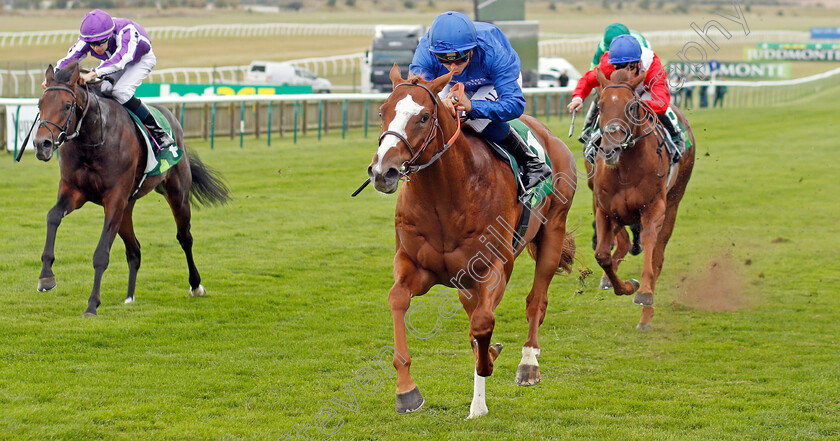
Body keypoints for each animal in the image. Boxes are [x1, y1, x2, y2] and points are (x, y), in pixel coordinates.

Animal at [31, 62, 230, 316]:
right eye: (40, 105)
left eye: (67, 105)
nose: (41, 145)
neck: (94, 138)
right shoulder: (74, 191)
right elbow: (53, 216)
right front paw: (46, 277)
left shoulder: (114, 199)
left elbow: (101, 254)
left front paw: (92, 304)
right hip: (127, 207)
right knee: (134, 250)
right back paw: (129, 297)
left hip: (177, 193)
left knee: (185, 237)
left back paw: (195, 286)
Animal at [368, 64, 576, 416]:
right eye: (383, 112)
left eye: (423, 117)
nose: (384, 171)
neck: (447, 197)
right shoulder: (416, 267)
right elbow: (397, 299)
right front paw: (406, 390)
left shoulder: (494, 268)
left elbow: (482, 323)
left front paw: (479, 399)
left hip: (553, 229)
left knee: (536, 300)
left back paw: (528, 363)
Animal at [592, 68, 696, 330]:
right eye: (600, 105)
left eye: (631, 106)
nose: (609, 149)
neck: (625, 168)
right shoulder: (605, 209)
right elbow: (602, 255)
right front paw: (627, 286)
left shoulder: (654, 207)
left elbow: (650, 243)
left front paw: (644, 292)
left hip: (674, 201)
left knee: (658, 255)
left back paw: (646, 316)